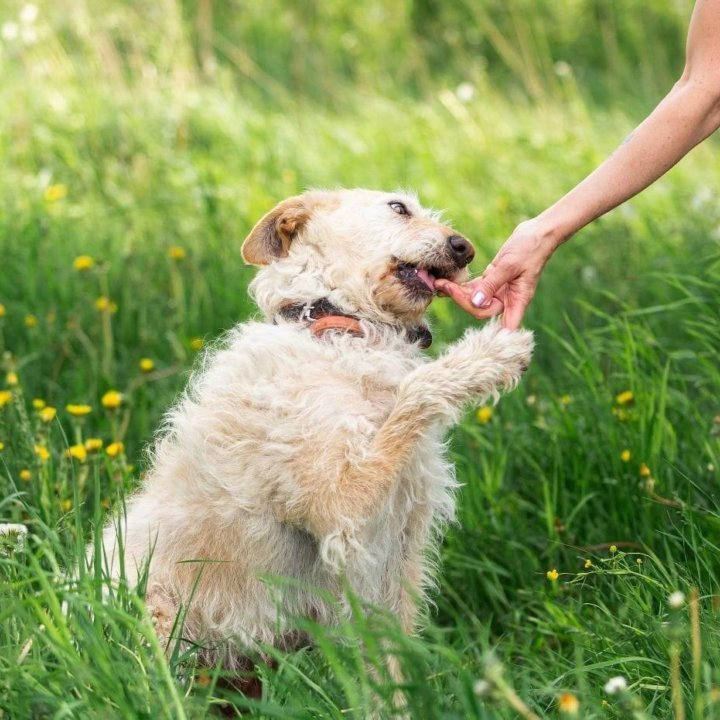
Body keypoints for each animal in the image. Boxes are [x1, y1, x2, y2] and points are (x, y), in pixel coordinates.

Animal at [98, 190, 532, 676]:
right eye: (398, 207)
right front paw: (490, 354)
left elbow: (392, 650)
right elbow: (415, 392)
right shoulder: (345, 502)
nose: (465, 249)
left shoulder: (398, 545)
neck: (341, 327)